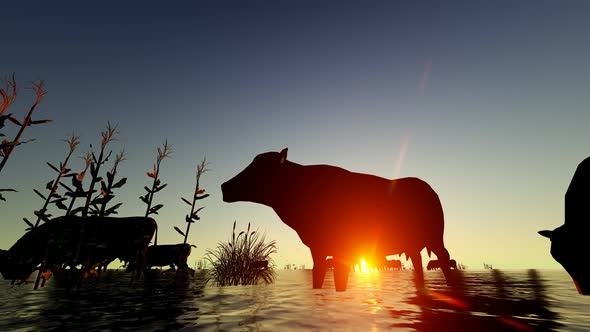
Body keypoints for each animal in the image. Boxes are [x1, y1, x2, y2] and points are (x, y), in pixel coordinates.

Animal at [0, 215, 157, 286]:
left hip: (138, 254)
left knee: (140, 269)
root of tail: (150, 219)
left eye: (11, 259)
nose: (6, 274)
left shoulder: (61, 259)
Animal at [222, 148, 454, 290]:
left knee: (444, 257)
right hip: (415, 244)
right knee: (419, 261)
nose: (224, 186)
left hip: (436, 236)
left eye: (260, 168)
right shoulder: (318, 247)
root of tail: (431, 189)